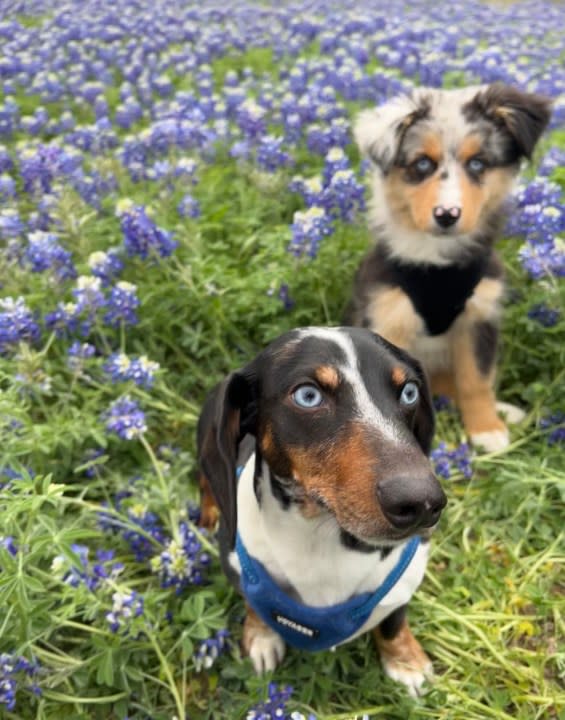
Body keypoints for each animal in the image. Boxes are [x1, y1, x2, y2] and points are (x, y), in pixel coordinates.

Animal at [197, 328, 446, 696]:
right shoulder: (238, 567)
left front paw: (405, 661)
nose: (421, 502)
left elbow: (393, 621)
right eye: (308, 396)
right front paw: (261, 637)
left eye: (410, 392)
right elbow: (254, 603)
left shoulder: (405, 582)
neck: (320, 536)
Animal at [348, 84, 552, 452]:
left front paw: (487, 429)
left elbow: (476, 380)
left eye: (478, 163)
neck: (437, 263)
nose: (446, 214)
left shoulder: (479, 318)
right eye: (422, 163)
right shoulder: (387, 316)